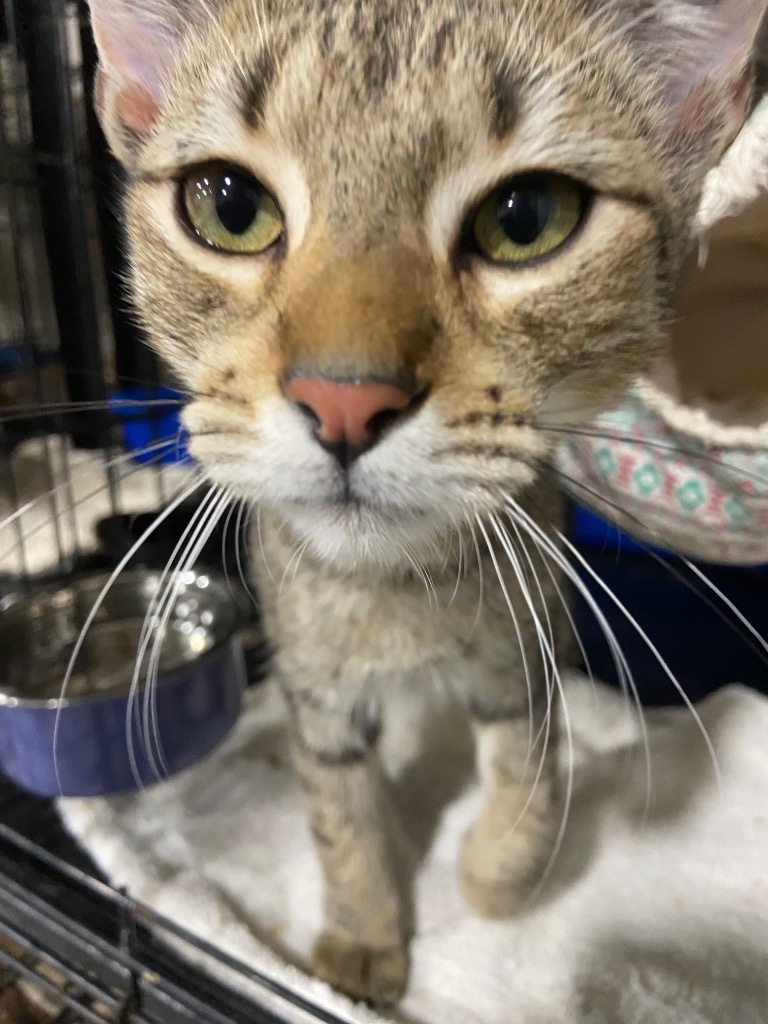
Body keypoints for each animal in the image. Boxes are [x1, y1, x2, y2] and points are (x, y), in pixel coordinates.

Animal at [83, 0, 768, 1007]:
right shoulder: (315, 691)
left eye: (527, 219)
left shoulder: (529, 656)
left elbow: (529, 774)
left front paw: (493, 875)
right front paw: (363, 936)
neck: (395, 589)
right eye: (229, 206)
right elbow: (340, 816)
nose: (344, 401)